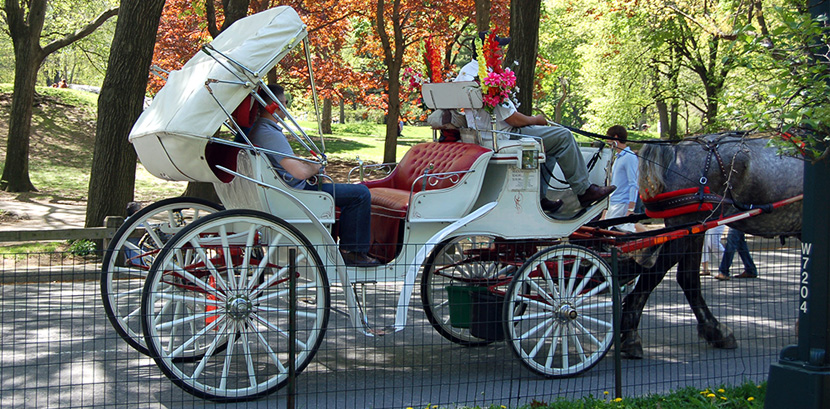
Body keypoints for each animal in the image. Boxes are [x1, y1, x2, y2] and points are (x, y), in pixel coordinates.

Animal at [620, 133, 804, 356]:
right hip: (685, 229)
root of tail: (677, 150)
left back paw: (715, 331)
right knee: (654, 275)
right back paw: (631, 337)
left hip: (694, 229)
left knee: (687, 278)